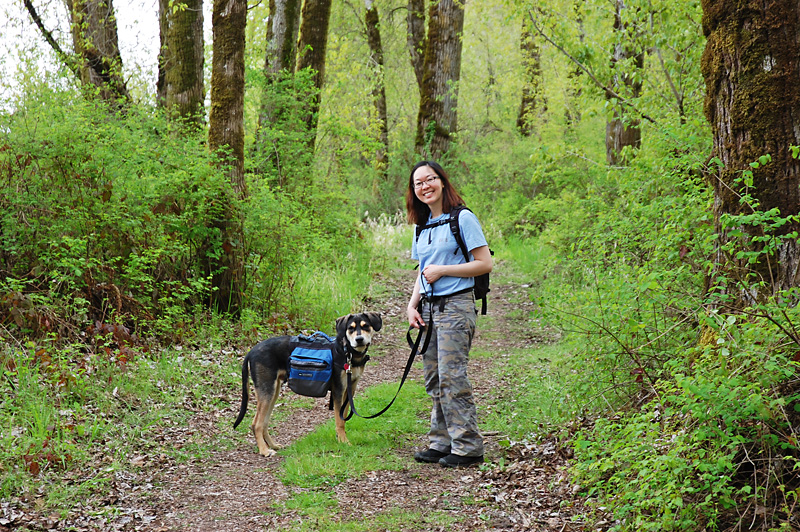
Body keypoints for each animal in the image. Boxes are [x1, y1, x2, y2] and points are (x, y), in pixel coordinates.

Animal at [233, 312, 382, 458]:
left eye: (366, 326)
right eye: (350, 328)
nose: (359, 339)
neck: (347, 351)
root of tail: (251, 352)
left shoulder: (350, 389)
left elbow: (343, 418)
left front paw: (341, 439)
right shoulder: (339, 389)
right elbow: (339, 421)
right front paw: (344, 442)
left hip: (273, 392)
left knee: (264, 423)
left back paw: (273, 445)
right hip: (267, 390)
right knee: (256, 424)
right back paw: (264, 450)